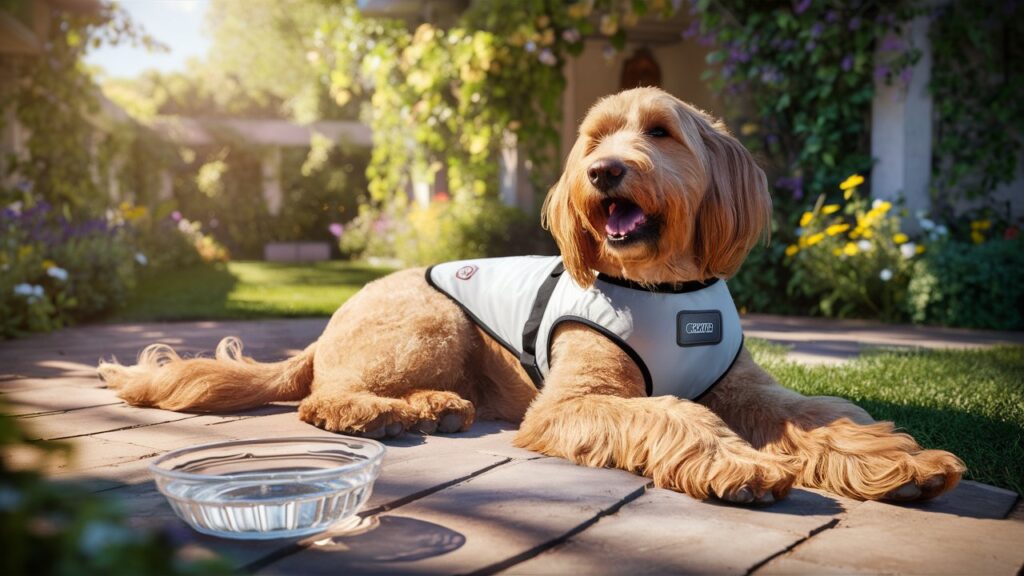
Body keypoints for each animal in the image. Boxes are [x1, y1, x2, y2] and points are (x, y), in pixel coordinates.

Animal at [99, 86, 962, 502]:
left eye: (660, 132)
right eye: (594, 139)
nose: (602, 173)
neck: (665, 287)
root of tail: (326, 326)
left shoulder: (748, 388)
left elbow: (823, 415)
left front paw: (898, 462)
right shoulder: (575, 402)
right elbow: (673, 412)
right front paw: (739, 466)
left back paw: (432, 409)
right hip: (427, 323)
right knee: (322, 396)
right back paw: (381, 413)